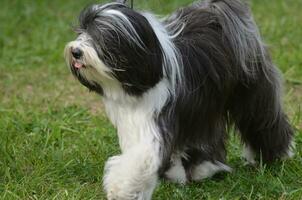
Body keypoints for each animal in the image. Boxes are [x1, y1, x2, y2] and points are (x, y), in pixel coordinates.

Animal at [65, 0, 294, 199]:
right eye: (81, 31)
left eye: (101, 36)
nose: (75, 51)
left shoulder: (158, 117)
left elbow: (142, 157)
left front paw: (122, 189)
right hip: (205, 106)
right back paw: (203, 168)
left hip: (250, 91)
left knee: (262, 119)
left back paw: (278, 155)